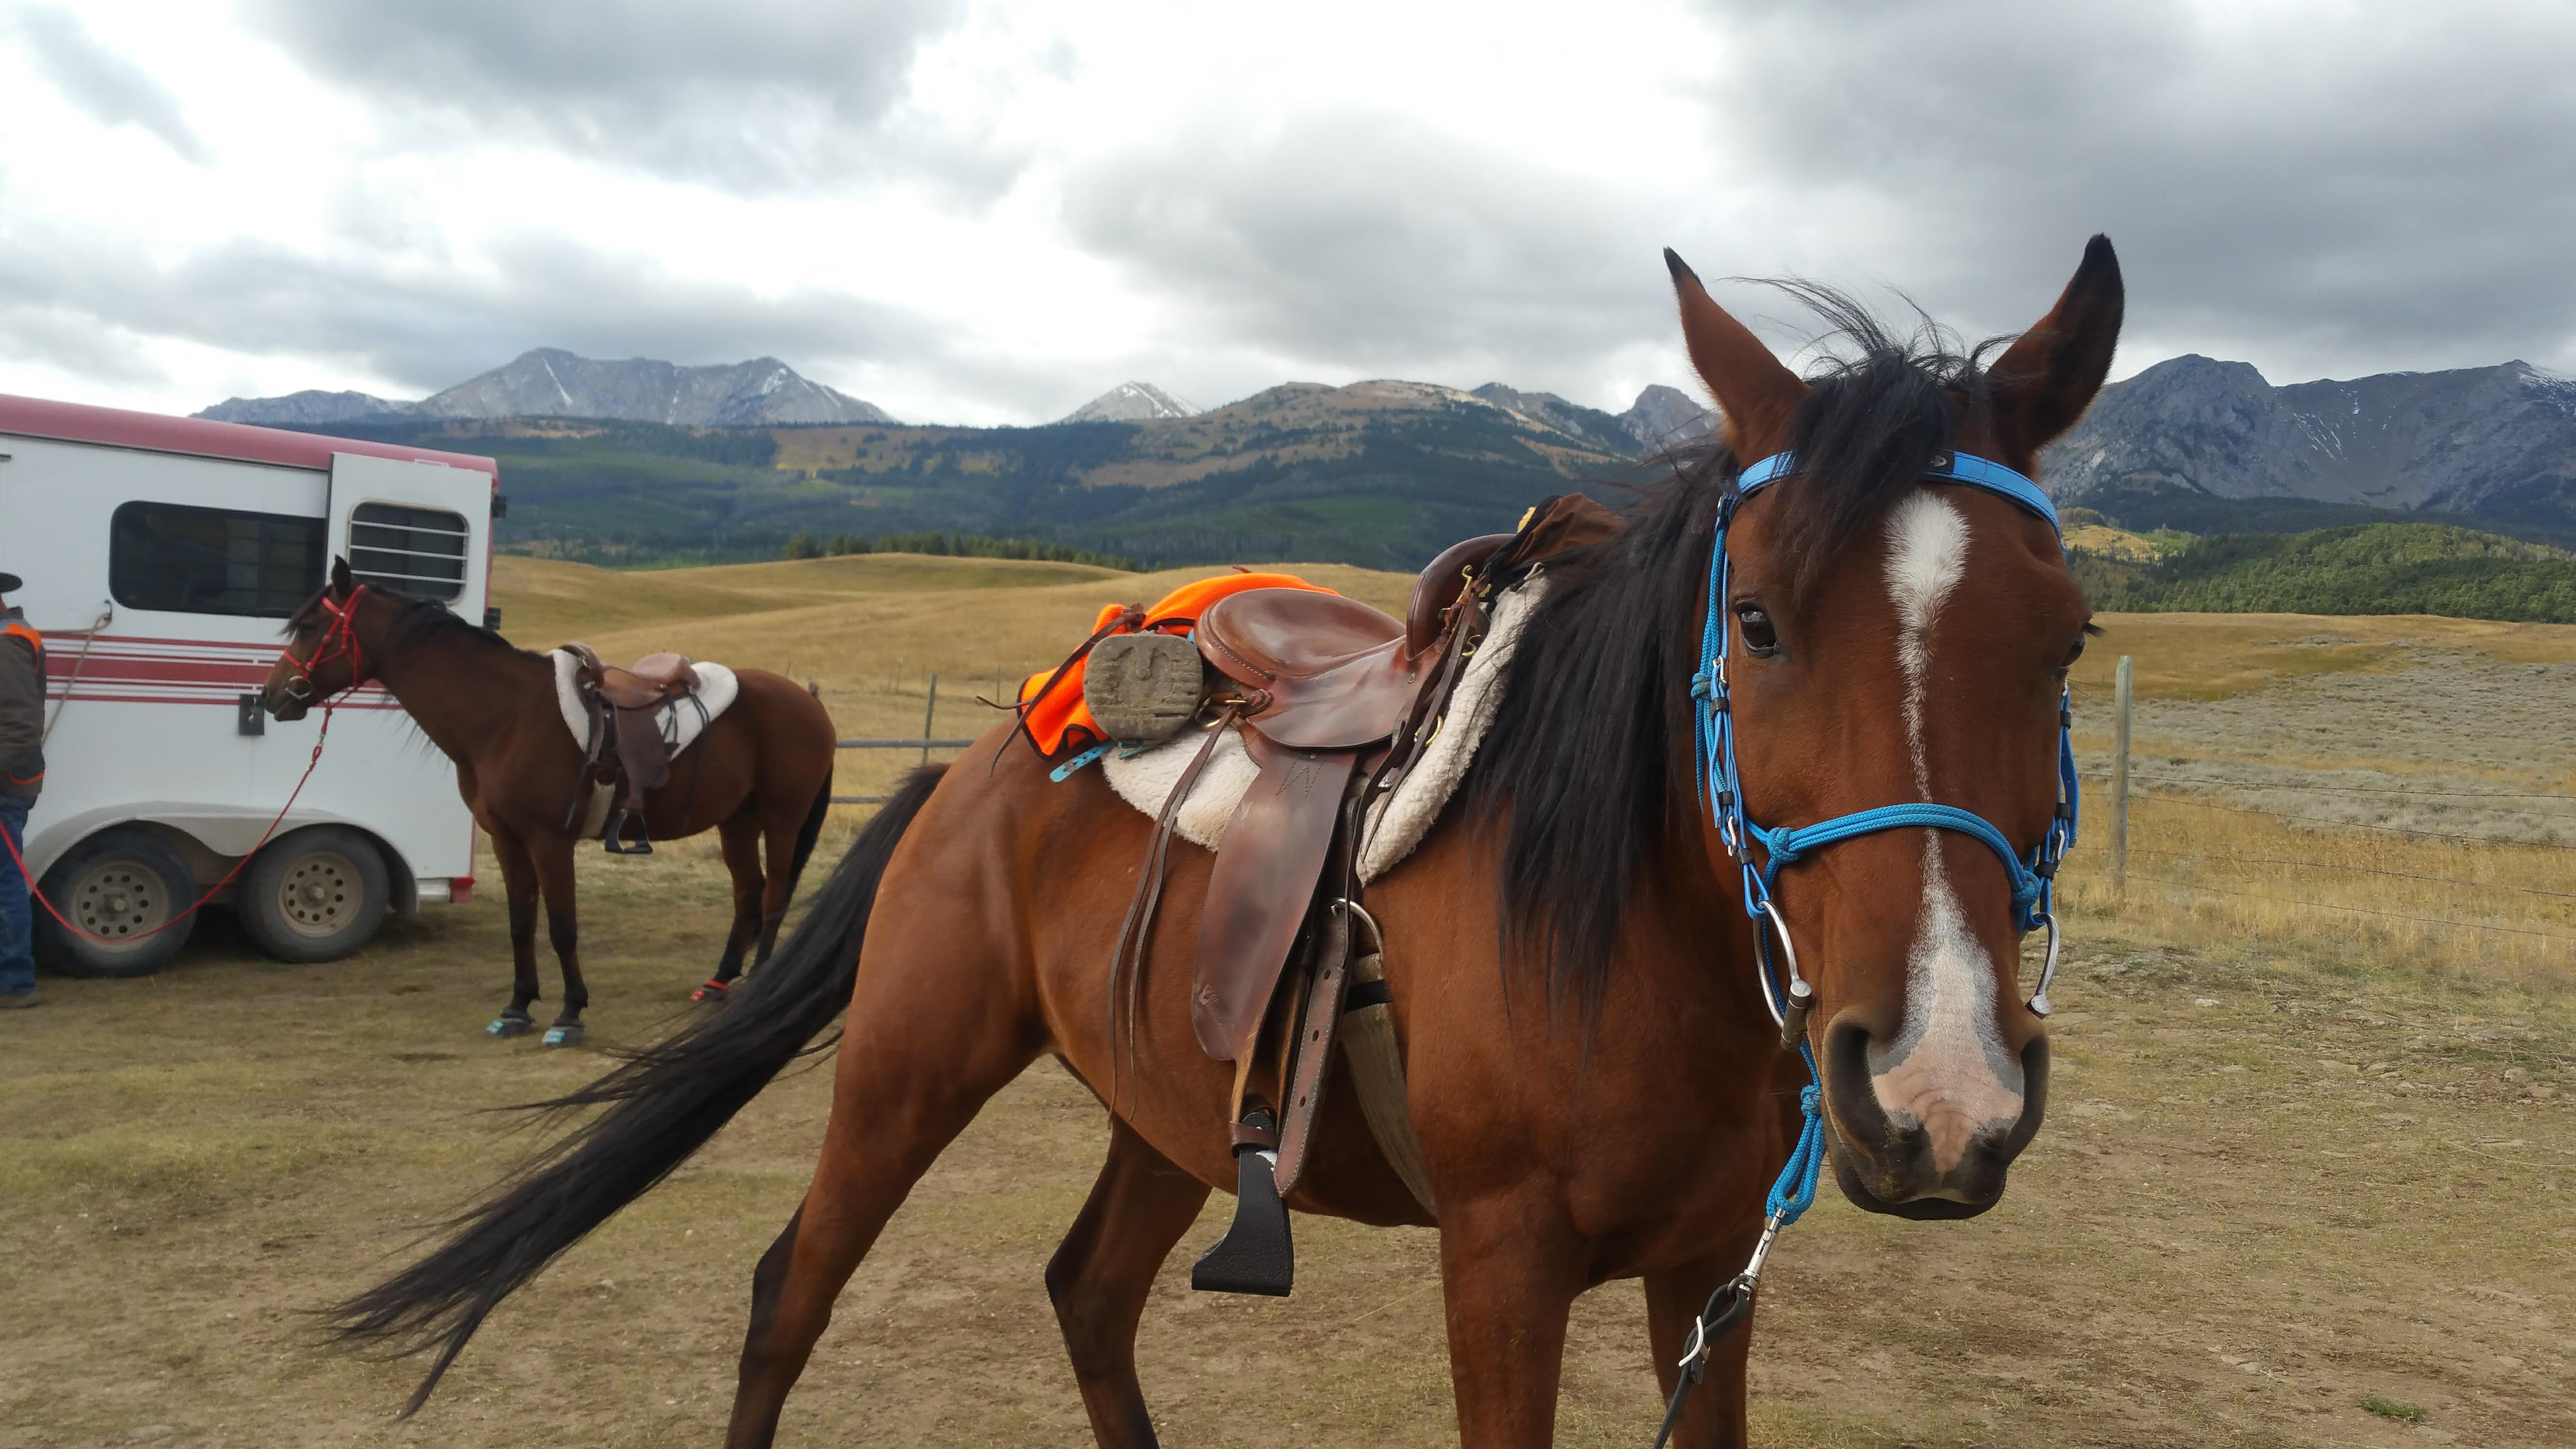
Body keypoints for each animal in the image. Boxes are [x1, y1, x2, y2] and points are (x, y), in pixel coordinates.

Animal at [258, 551, 835, 1036]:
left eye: (309, 626)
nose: (271, 695)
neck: (506, 717)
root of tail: (808, 703)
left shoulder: (549, 843)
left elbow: (562, 927)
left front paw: (570, 1013)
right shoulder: (507, 841)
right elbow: (522, 923)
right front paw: (517, 1008)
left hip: (782, 819)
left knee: (774, 894)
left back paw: (759, 985)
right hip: (738, 820)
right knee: (748, 893)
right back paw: (717, 984)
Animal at [332, 234, 2123, 1433]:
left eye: (2070, 638)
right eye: (1752, 622)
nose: (1938, 1090)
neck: (1631, 929)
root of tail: (983, 759)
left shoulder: (1710, 1277)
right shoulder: (1505, 1263)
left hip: (1170, 1102)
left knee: (1088, 1292)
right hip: (909, 1058)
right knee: (793, 1290)